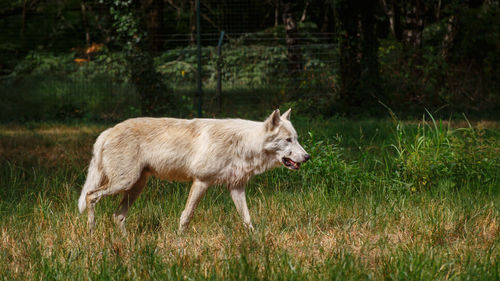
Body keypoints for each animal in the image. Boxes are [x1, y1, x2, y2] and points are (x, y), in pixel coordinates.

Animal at [77, 108, 308, 233]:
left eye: (296, 139)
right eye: (288, 140)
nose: (307, 157)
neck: (242, 144)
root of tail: (107, 131)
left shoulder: (236, 188)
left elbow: (247, 218)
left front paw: (255, 239)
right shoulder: (201, 182)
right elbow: (186, 216)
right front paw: (180, 240)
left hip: (135, 186)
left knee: (118, 216)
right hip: (124, 183)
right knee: (90, 196)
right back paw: (91, 232)